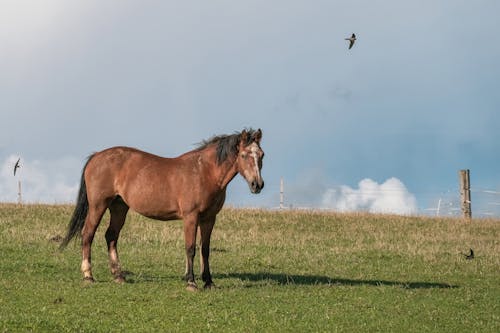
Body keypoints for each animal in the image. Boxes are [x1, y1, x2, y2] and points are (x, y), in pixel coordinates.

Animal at [60, 128, 264, 290]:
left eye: (261, 155)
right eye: (244, 155)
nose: (257, 185)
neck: (204, 172)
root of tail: (96, 156)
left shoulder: (209, 218)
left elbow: (205, 249)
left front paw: (208, 282)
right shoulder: (191, 216)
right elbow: (190, 248)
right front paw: (191, 282)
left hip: (119, 207)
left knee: (111, 236)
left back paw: (118, 275)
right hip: (98, 205)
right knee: (88, 234)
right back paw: (88, 275)